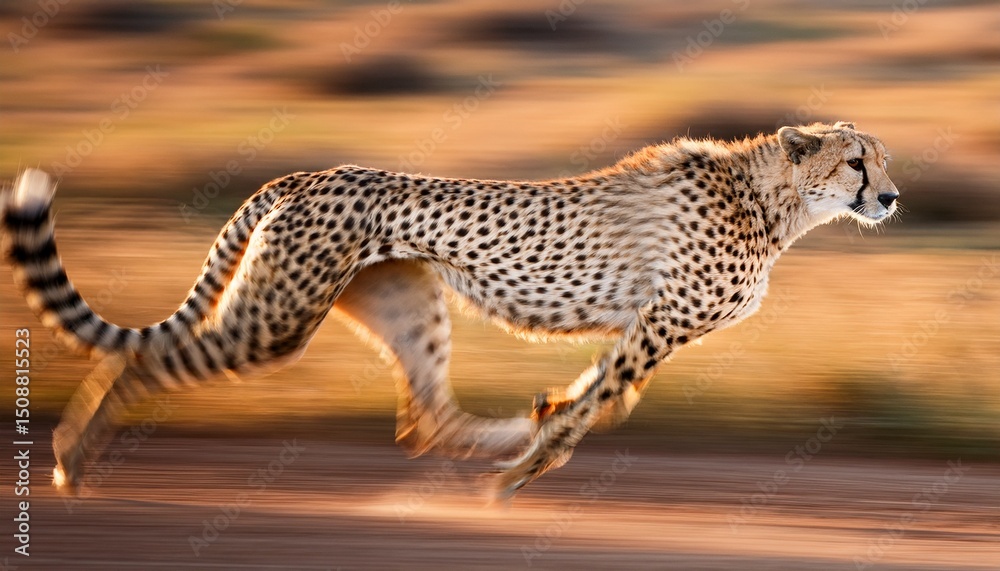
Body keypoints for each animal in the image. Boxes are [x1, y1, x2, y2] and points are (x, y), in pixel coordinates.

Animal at [1, 121, 898, 499]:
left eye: (882, 161)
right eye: (856, 161)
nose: (890, 196)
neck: (775, 201)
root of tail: (306, 172)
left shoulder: (648, 326)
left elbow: (601, 391)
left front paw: (543, 430)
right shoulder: (662, 320)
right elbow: (605, 397)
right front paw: (530, 466)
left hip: (407, 302)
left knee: (425, 415)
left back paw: (513, 427)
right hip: (275, 318)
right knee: (141, 354)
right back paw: (71, 460)